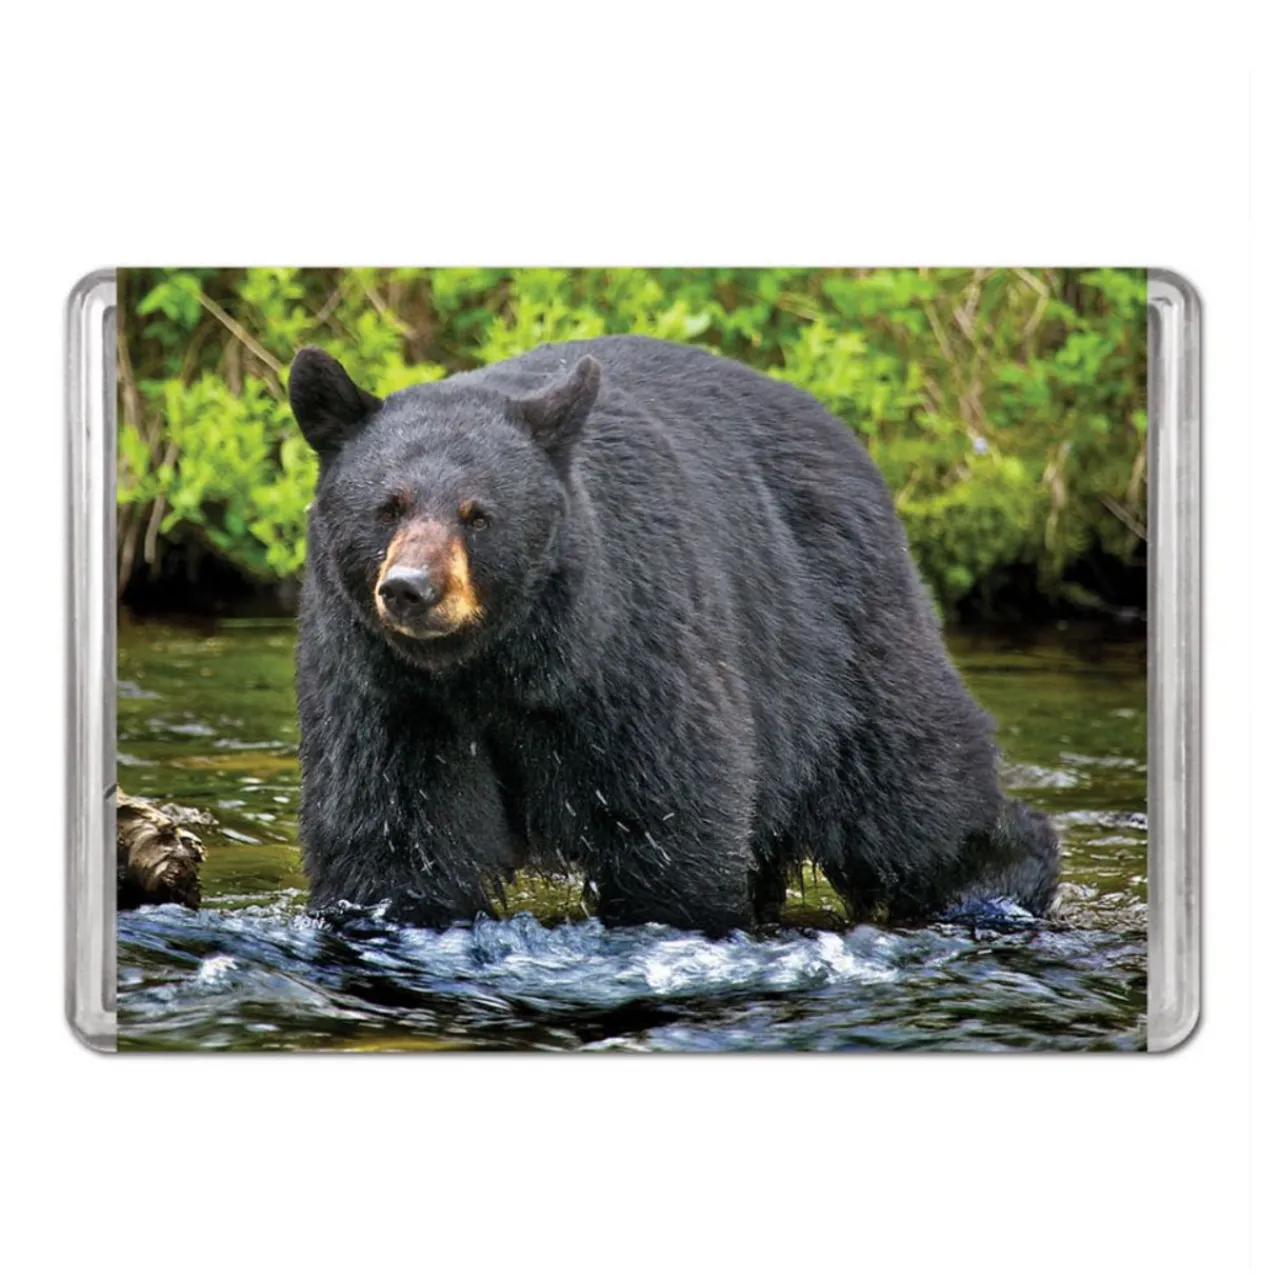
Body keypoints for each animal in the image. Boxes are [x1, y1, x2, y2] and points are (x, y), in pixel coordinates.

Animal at [288, 335, 1059, 935]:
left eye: (479, 514)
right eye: (388, 507)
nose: (411, 588)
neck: (498, 665)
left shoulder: (628, 650)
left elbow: (668, 815)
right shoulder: (387, 693)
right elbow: (394, 837)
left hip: (840, 636)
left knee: (911, 792)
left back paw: (997, 881)